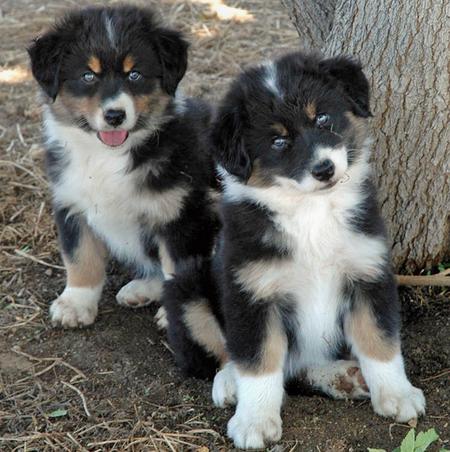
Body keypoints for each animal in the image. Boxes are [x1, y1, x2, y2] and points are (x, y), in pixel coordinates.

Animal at [27, 4, 218, 328]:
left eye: (135, 75)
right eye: (88, 76)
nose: (115, 115)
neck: (106, 156)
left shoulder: (180, 215)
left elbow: (177, 267)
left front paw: (179, 317)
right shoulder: (70, 202)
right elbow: (80, 257)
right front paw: (75, 304)